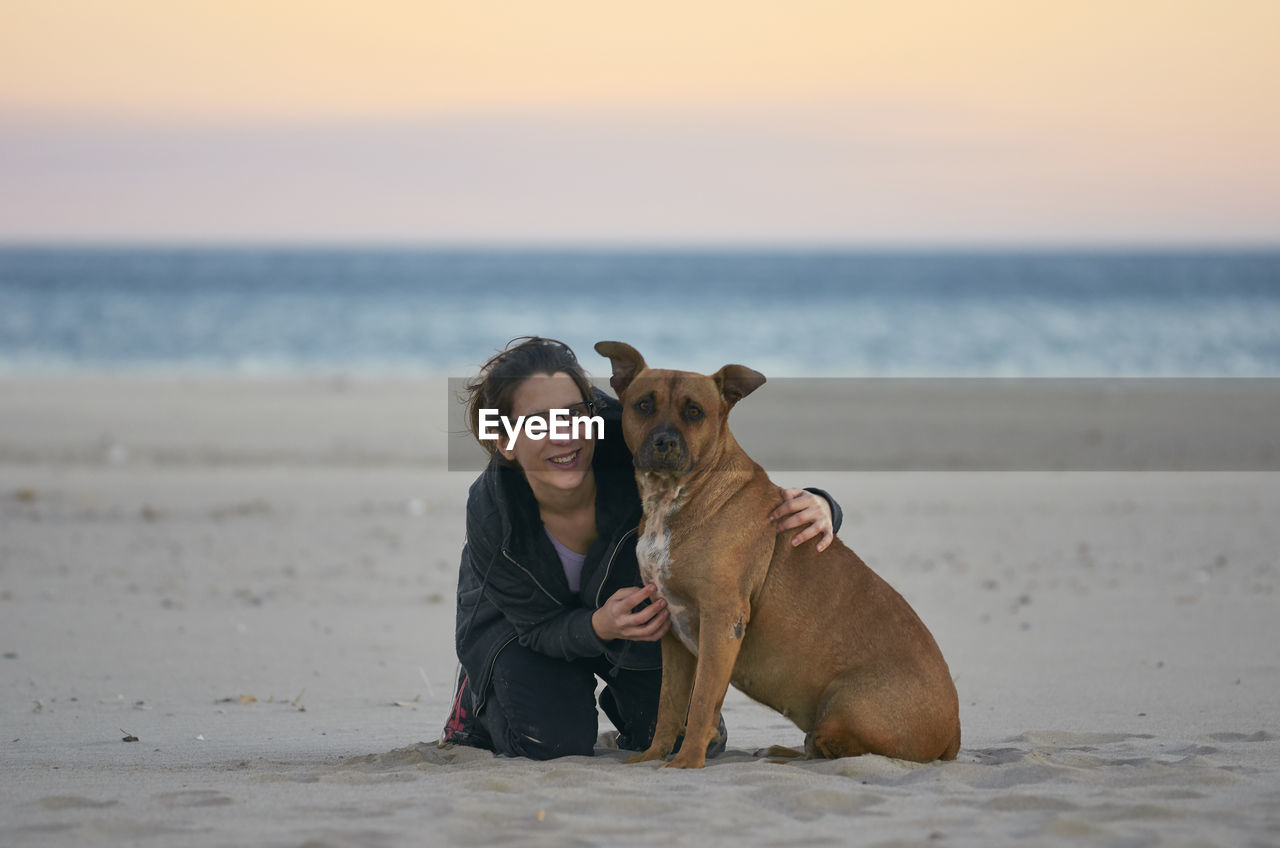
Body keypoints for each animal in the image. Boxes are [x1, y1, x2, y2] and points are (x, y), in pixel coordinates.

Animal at [591, 340, 962, 768]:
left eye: (694, 412)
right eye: (644, 405)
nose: (664, 441)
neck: (676, 498)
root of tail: (955, 729)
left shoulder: (722, 620)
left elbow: (700, 703)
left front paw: (687, 761)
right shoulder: (671, 629)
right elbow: (669, 705)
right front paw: (652, 756)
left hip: (845, 703)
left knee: (832, 748)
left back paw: (786, 754)